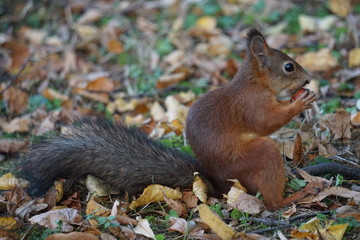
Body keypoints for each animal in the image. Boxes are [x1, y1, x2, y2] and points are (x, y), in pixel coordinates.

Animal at [21, 29, 326, 210]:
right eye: (288, 67)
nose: (307, 79)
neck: (254, 82)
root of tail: (220, 186)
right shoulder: (251, 104)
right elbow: (265, 122)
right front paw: (300, 102)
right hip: (258, 156)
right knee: (273, 201)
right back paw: (297, 195)